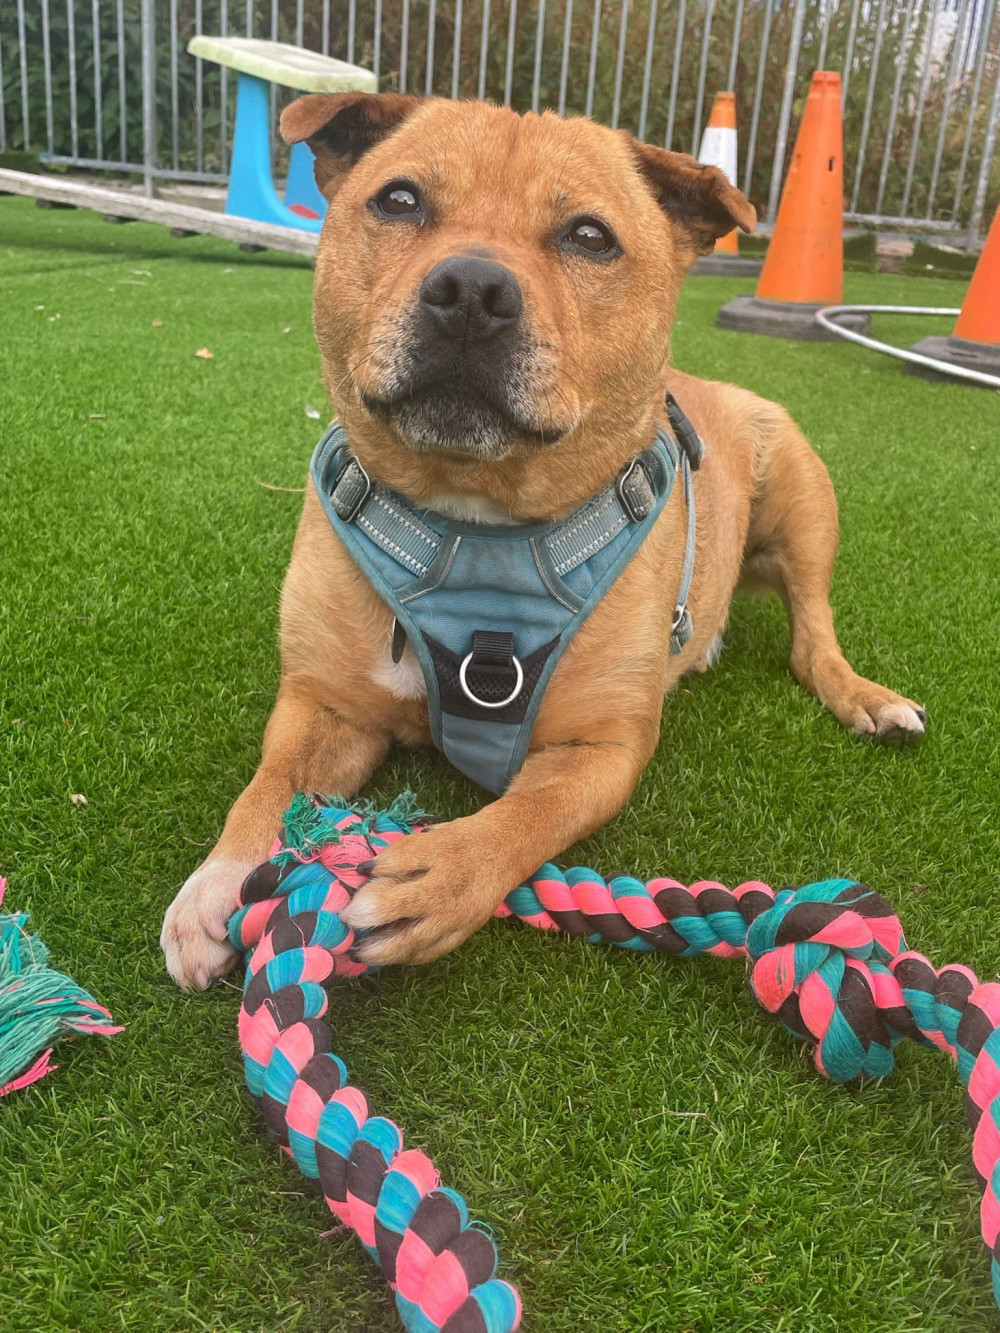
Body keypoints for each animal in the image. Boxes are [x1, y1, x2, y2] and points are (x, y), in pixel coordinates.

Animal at [162, 93, 922, 991]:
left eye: (590, 236)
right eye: (399, 199)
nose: (471, 289)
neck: (474, 526)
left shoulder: (603, 749)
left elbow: (531, 808)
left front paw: (447, 871)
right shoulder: (324, 706)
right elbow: (269, 785)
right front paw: (219, 878)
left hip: (802, 492)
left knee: (812, 635)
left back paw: (864, 695)